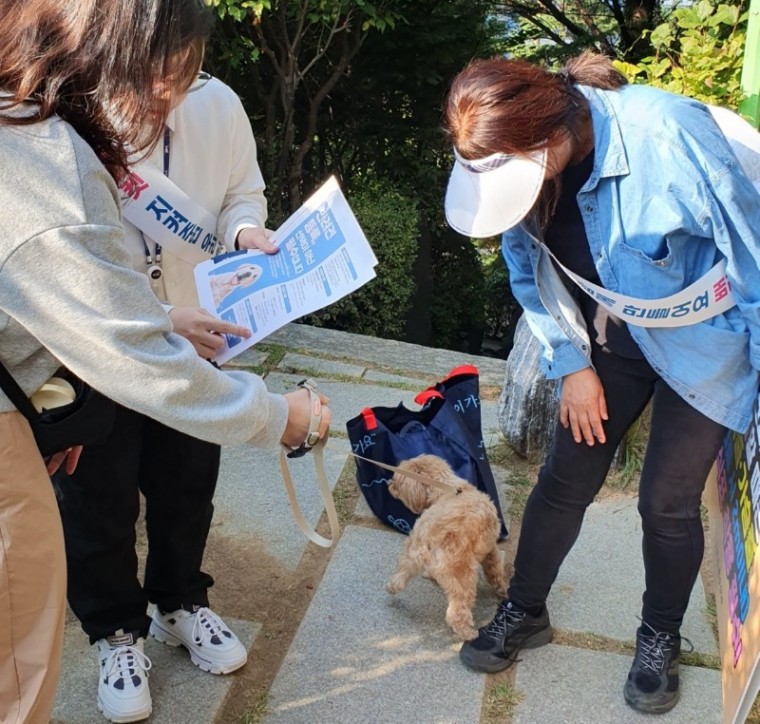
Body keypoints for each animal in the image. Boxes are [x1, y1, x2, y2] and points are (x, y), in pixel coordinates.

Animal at [386, 452, 504, 640]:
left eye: (397, 483)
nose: (389, 485)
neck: (446, 489)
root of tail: (431, 535)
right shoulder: (491, 549)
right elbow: (496, 571)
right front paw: (502, 589)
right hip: (462, 576)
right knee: (457, 611)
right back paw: (468, 633)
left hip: (411, 553)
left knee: (401, 575)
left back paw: (393, 586)